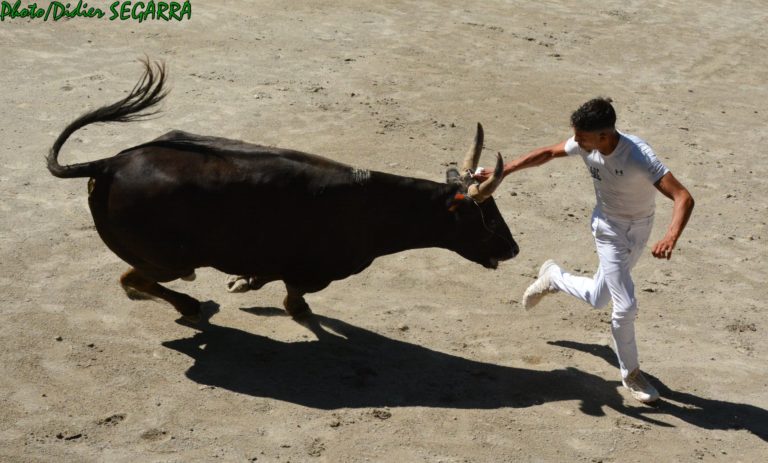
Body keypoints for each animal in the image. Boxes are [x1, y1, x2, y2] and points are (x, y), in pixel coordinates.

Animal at [46, 61, 516, 322]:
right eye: (487, 217)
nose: (513, 249)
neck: (372, 205)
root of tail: (109, 164)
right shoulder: (314, 269)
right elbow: (294, 290)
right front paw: (274, 299)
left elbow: (274, 279)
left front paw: (244, 282)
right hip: (169, 259)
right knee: (133, 279)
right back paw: (190, 306)